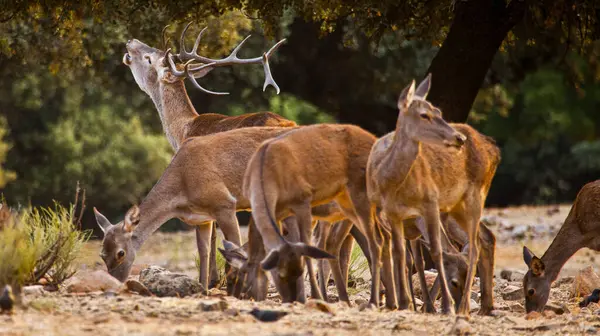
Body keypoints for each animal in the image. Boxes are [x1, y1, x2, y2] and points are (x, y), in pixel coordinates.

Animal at [241, 123, 400, 308]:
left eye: (297, 271)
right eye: (279, 274)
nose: (291, 299)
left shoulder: (302, 200)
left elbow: (307, 247)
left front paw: (315, 296)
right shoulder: (278, 212)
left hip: (361, 193)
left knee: (376, 241)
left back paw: (374, 301)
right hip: (347, 204)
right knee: (381, 236)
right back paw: (390, 302)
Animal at [368, 74, 500, 316]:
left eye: (439, 111)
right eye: (424, 114)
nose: (459, 138)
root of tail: (495, 149)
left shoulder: (427, 207)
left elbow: (433, 253)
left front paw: (432, 305)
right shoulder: (393, 216)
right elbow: (402, 255)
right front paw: (405, 303)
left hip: (474, 197)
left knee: (472, 246)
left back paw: (465, 307)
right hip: (455, 209)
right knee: (484, 238)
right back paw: (485, 306)